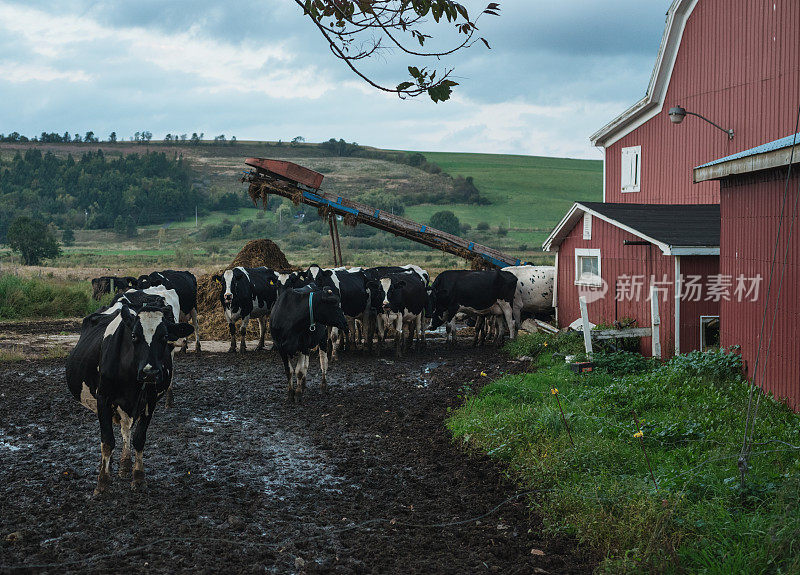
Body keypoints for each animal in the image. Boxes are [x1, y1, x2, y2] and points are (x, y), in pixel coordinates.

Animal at [66, 302, 195, 496]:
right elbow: (107, 441)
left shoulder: (150, 401)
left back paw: (125, 465)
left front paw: (138, 477)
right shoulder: (103, 398)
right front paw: (102, 482)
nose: (150, 372)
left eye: (164, 336)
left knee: (126, 428)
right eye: (134, 336)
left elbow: (139, 439)